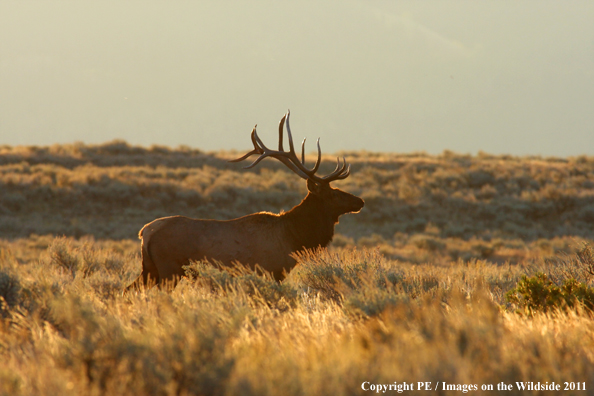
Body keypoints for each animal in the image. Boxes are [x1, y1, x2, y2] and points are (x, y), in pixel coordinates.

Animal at [126, 111, 360, 290]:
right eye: (333, 194)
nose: (360, 201)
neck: (294, 238)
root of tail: (145, 232)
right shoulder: (271, 270)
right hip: (169, 269)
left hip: (149, 270)